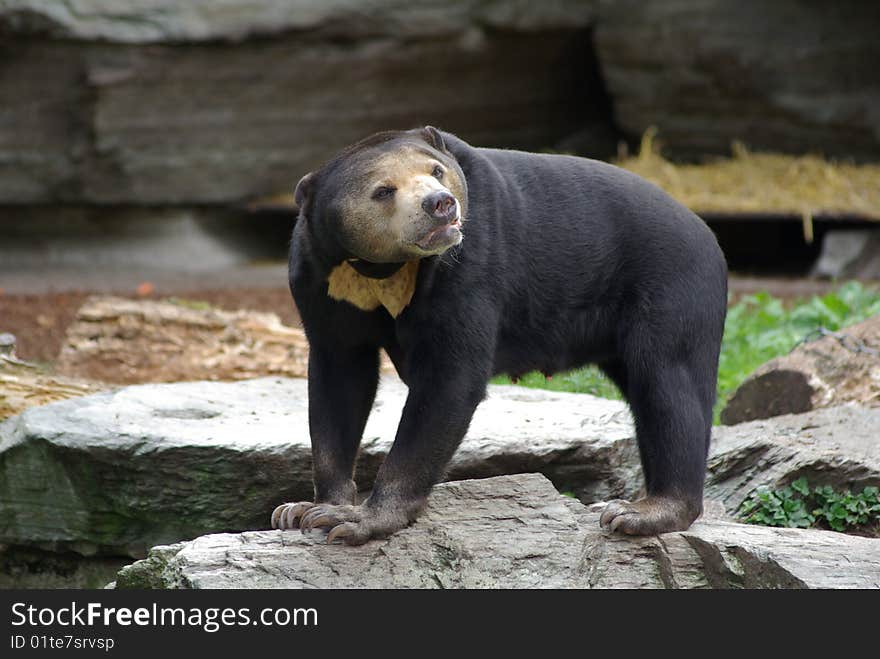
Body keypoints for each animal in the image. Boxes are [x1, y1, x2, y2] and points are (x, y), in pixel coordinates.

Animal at [272, 126, 724, 544]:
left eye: (436, 171)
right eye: (383, 191)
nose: (441, 204)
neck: (384, 271)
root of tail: (705, 231)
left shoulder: (469, 265)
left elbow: (449, 382)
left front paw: (360, 520)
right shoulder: (318, 281)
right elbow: (338, 383)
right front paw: (306, 510)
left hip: (671, 290)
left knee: (668, 386)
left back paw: (641, 512)